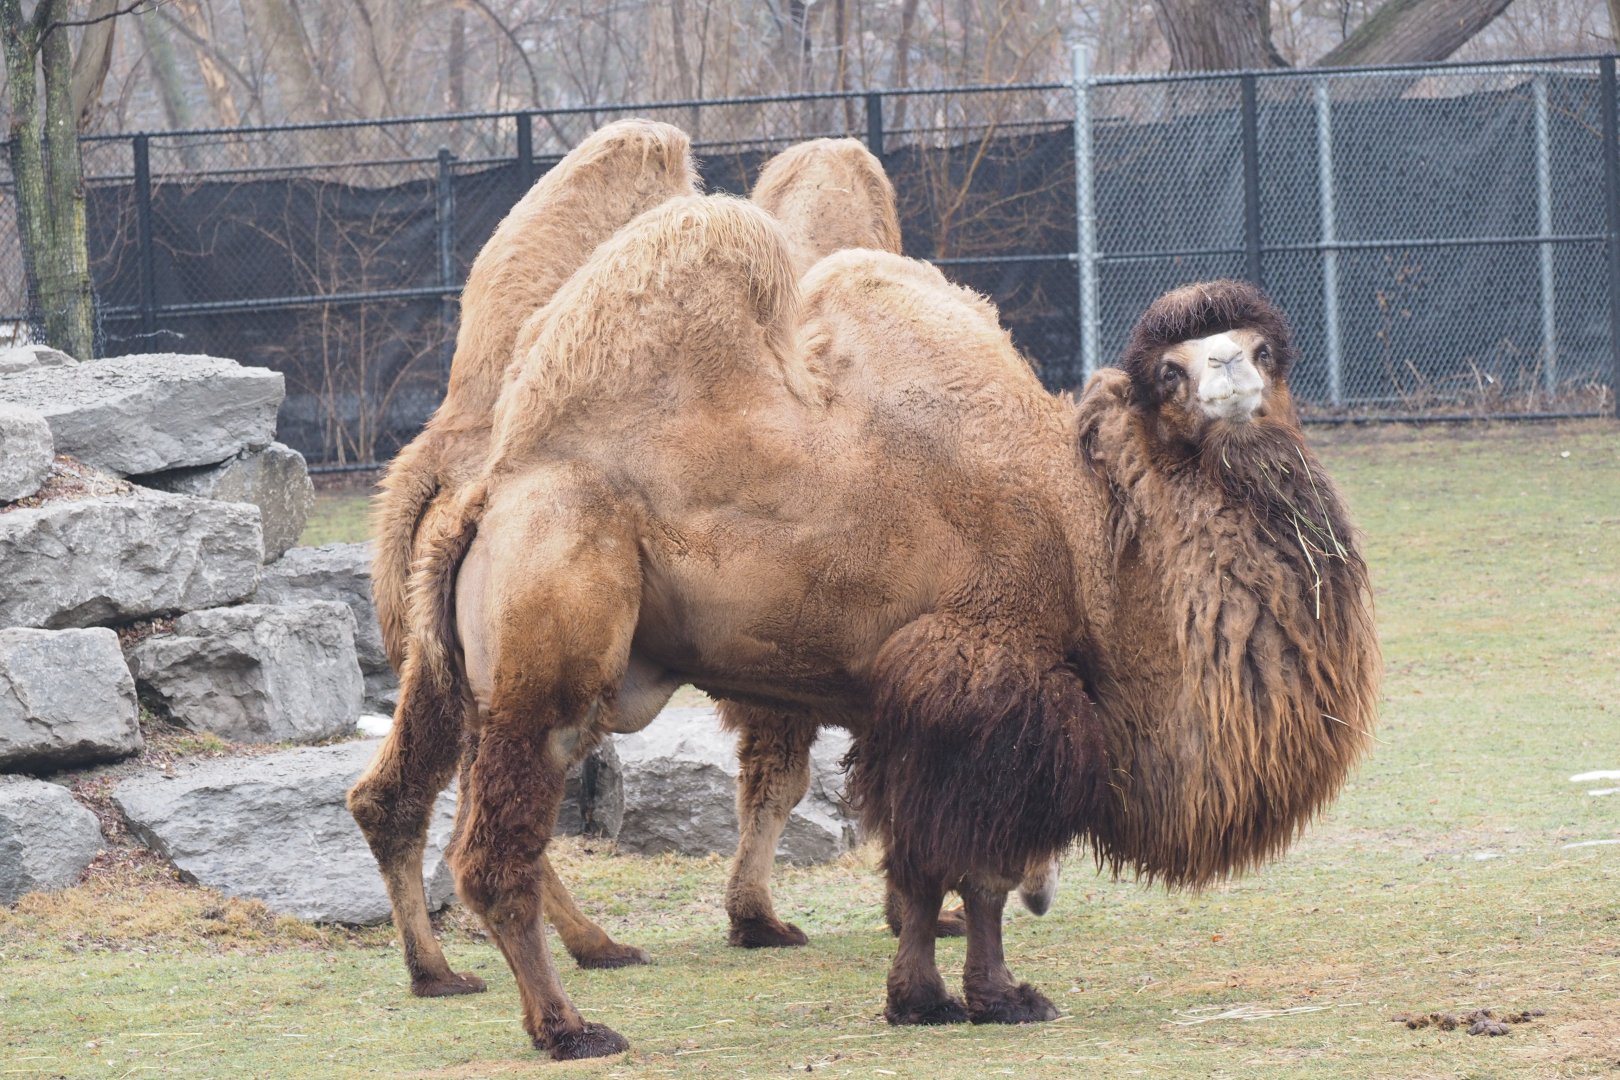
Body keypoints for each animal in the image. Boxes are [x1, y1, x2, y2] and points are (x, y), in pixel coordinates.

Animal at [397, 189, 1380, 1058]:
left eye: (1262, 350)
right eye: (1172, 370)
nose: (1230, 375)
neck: (1091, 535)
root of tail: (485, 498)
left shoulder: (919, 711)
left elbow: (920, 874)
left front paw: (928, 1000)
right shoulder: (990, 691)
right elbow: (975, 871)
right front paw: (991, 997)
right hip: (549, 651)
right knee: (495, 854)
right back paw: (568, 1027)